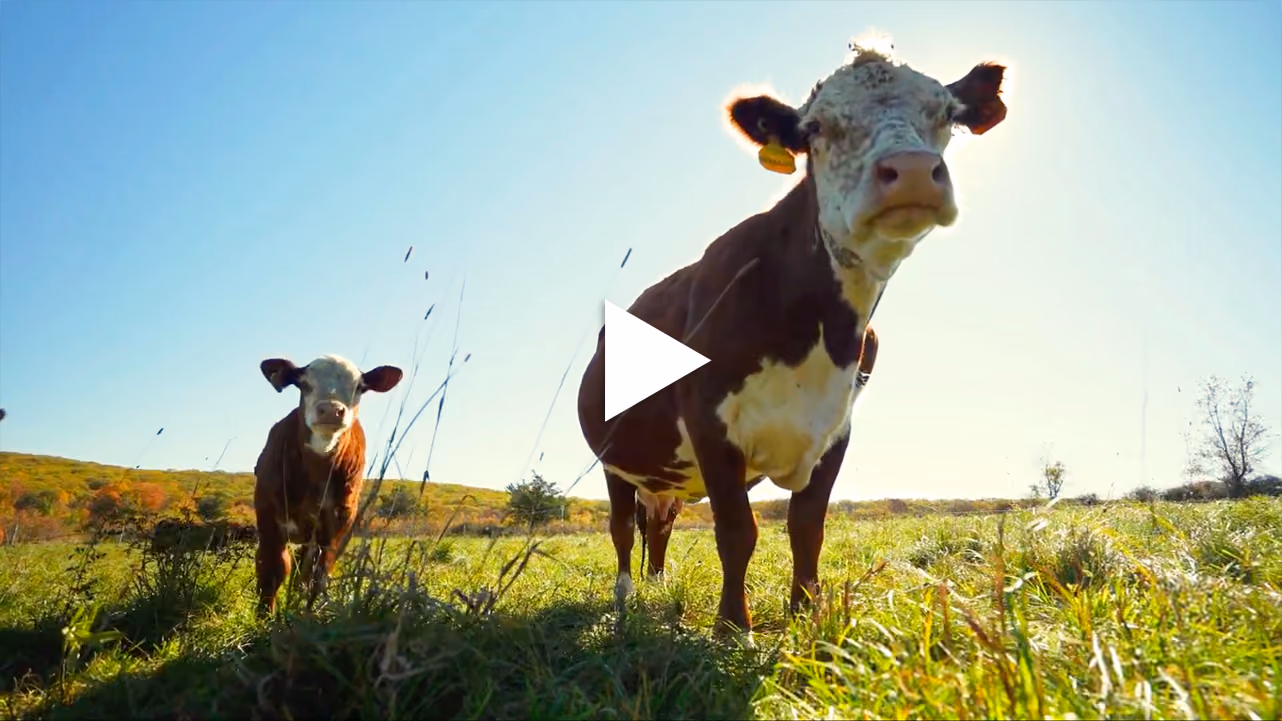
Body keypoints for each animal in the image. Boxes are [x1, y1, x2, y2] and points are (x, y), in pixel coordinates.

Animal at [253, 354, 403, 616]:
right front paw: (264, 616)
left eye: (359, 387)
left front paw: (306, 614)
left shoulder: (337, 523)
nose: (331, 410)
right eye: (303, 383)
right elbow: (273, 569)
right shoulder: (268, 517)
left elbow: (318, 575)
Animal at [576, 42, 1008, 643]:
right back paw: (624, 599)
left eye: (944, 114)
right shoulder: (709, 420)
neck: (819, 332)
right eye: (817, 127)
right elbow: (738, 531)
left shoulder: (836, 428)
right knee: (621, 527)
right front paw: (731, 628)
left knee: (657, 525)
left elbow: (807, 528)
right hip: (617, 461)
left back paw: (660, 588)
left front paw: (807, 614)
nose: (912, 173)